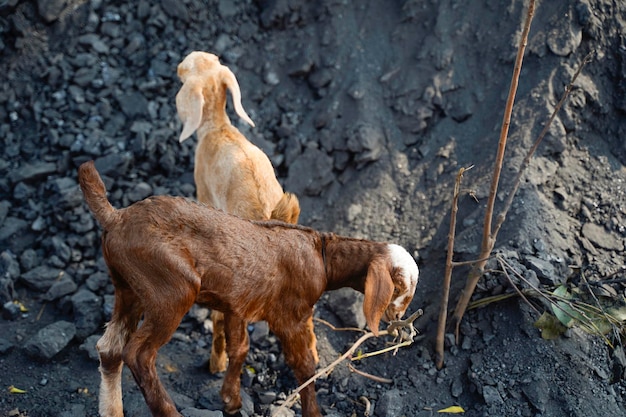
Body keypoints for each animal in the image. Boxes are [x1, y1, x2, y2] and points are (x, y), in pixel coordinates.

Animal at [79, 160, 420, 416]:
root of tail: (117, 217)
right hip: (170, 288)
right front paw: (312, 412)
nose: (399, 317)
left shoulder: (237, 302)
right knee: (138, 354)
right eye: (398, 285)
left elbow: (240, 347)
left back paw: (112, 411)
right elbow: (303, 366)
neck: (322, 255)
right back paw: (168, 410)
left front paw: (230, 399)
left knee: (109, 349)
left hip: (129, 287)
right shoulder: (290, 315)